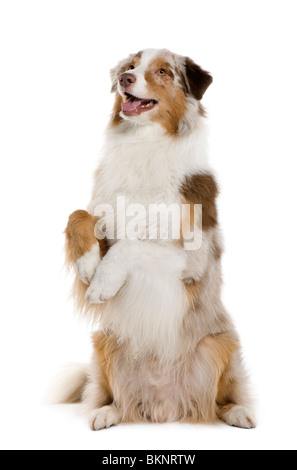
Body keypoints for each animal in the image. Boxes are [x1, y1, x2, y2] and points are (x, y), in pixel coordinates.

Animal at [60, 47, 254, 430]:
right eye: (131, 65)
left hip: (221, 343)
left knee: (219, 400)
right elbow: (78, 215)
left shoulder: (194, 259)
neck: (144, 142)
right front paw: (88, 264)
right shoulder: (106, 218)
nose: (124, 79)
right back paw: (107, 413)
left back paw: (239, 413)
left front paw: (102, 282)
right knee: (117, 398)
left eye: (163, 71)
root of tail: (167, 407)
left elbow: (131, 246)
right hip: (105, 341)